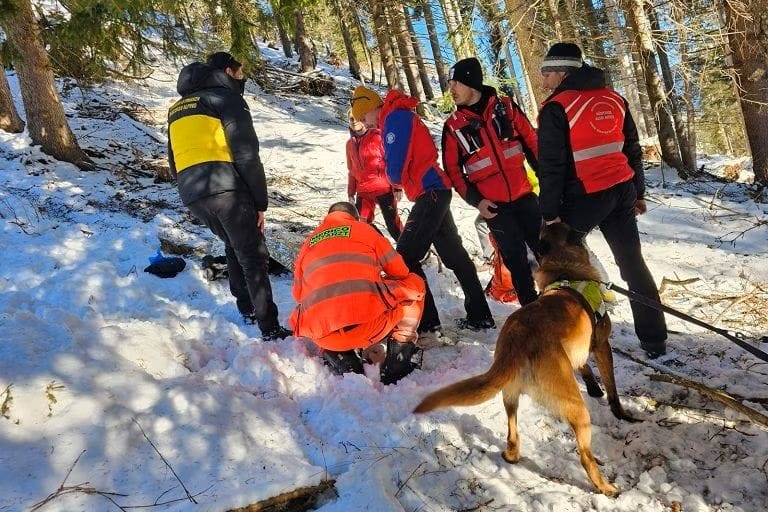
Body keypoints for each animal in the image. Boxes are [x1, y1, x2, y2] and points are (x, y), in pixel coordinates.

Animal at [414, 223, 636, 496]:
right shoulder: (602, 346)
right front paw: (620, 412)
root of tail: (517, 337)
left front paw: (594, 387)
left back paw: (511, 455)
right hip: (576, 407)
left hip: (509, 395)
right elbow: (612, 388)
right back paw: (606, 486)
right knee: (585, 456)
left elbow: (585, 367)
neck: (564, 266)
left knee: (512, 434)